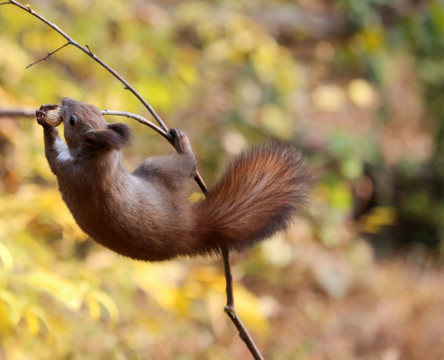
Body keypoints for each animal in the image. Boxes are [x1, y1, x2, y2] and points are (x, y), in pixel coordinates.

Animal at [36, 97, 310, 262]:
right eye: (91, 107)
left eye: (73, 121)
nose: (65, 101)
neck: (101, 158)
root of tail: (190, 227)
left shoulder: (70, 171)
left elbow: (52, 155)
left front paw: (46, 124)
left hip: (159, 169)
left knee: (189, 165)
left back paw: (183, 145)